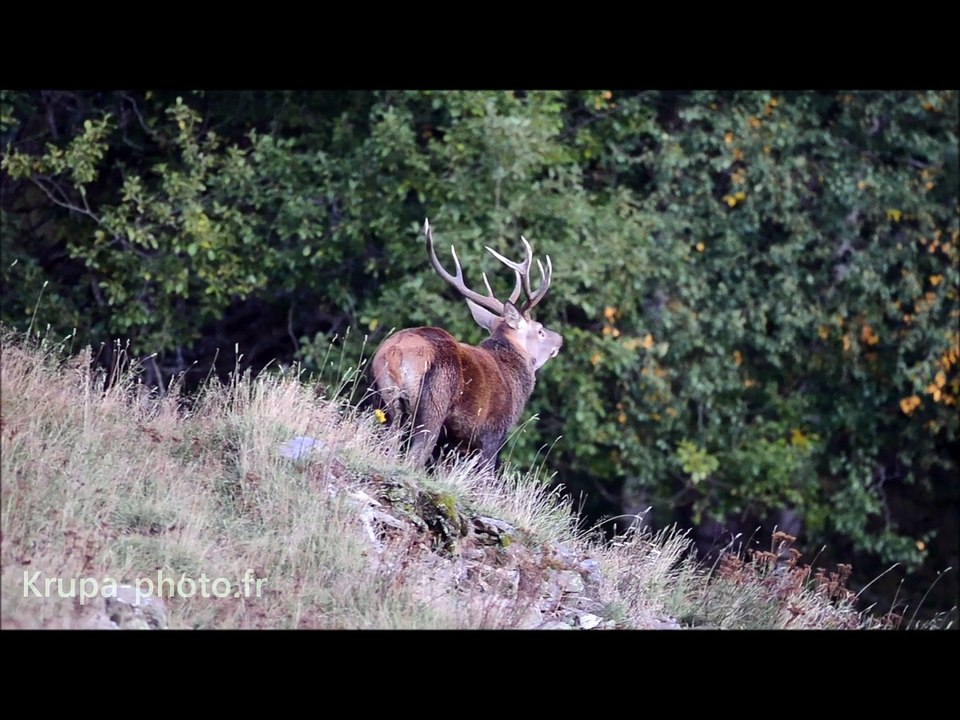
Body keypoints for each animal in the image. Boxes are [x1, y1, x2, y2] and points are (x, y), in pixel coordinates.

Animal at [371, 219, 563, 470]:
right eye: (540, 330)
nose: (560, 339)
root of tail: (394, 353)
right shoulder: (492, 433)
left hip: (384, 401)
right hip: (434, 403)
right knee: (415, 455)